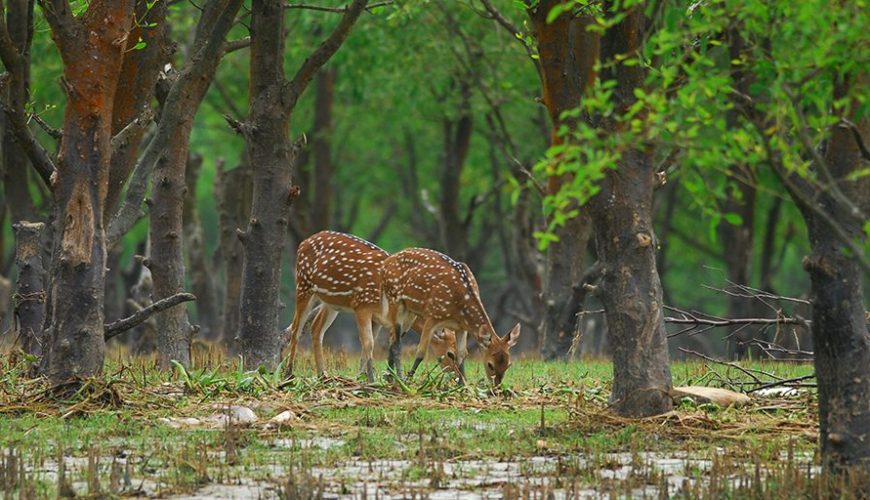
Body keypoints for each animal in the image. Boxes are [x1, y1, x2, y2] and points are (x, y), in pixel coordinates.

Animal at [380, 248, 516, 384]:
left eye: (508, 365)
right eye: (490, 365)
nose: (496, 385)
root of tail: (388, 261)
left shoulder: (461, 327)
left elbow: (462, 354)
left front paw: (463, 384)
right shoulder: (432, 315)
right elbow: (420, 352)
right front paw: (408, 381)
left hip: (409, 311)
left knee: (393, 338)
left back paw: (389, 377)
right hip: (394, 300)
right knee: (395, 341)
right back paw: (397, 378)